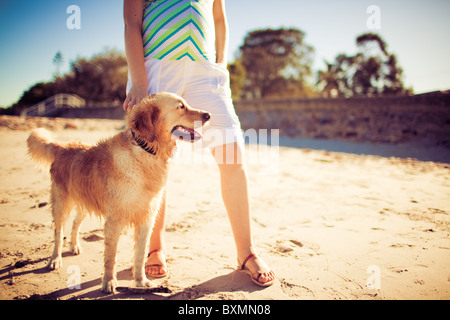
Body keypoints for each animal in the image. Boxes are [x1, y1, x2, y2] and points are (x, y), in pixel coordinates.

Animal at [27, 92, 210, 292]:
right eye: (180, 107)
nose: (208, 115)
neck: (147, 151)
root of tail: (62, 147)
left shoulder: (146, 218)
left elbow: (140, 255)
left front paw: (141, 281)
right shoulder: (114, 219)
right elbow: (111, 255)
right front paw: (108, 282)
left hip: (85, 200)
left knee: (75, 223)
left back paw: (74, 246)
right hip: (62, 203)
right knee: (58, 233)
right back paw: (55, 259)